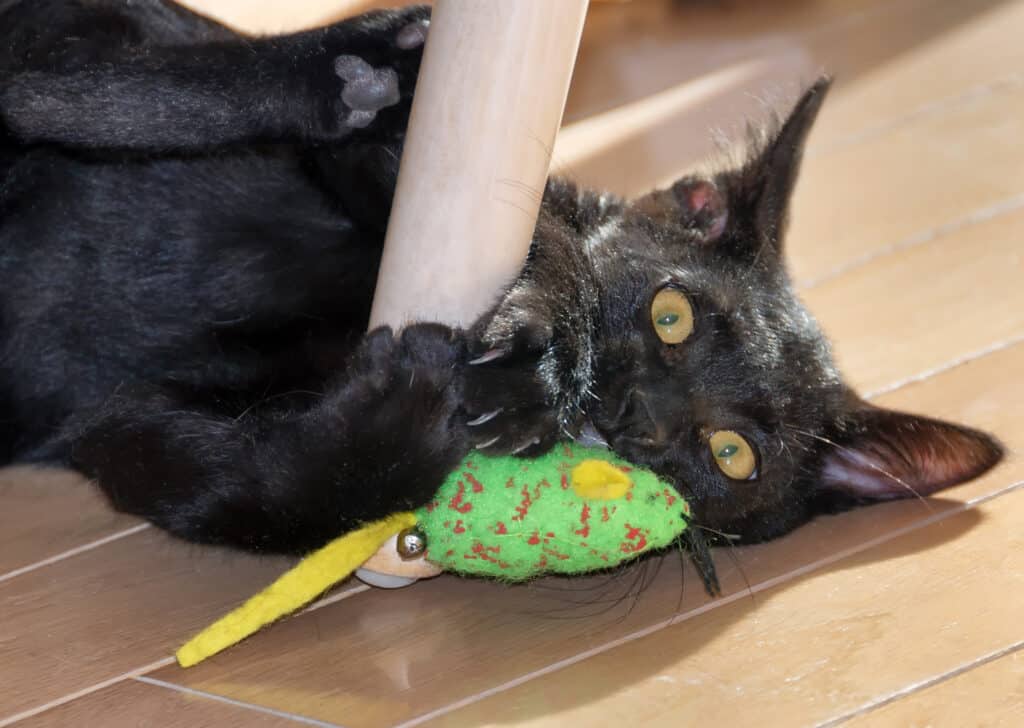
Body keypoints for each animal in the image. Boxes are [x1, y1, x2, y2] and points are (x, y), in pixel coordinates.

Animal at [0, 2, 999, 565]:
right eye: (672, 314)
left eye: (730, 455)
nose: (633, 414)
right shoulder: (407, 172)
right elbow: (552, 236)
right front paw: (541, 361)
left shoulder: (119, 423)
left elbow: (246, 494)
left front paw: (403, 423)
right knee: (64, 78)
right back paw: (366, 61)